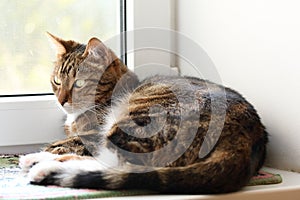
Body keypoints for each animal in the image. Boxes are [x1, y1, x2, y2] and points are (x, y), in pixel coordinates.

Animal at [18, 32, 268, 194]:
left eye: (79, 83)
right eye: (57, 81)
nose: (62, 101)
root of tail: (247, 134)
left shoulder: (91, 134)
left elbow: (64, 144)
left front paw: (46, 153)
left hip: (141, 118)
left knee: (124, 164)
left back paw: (43, 166)